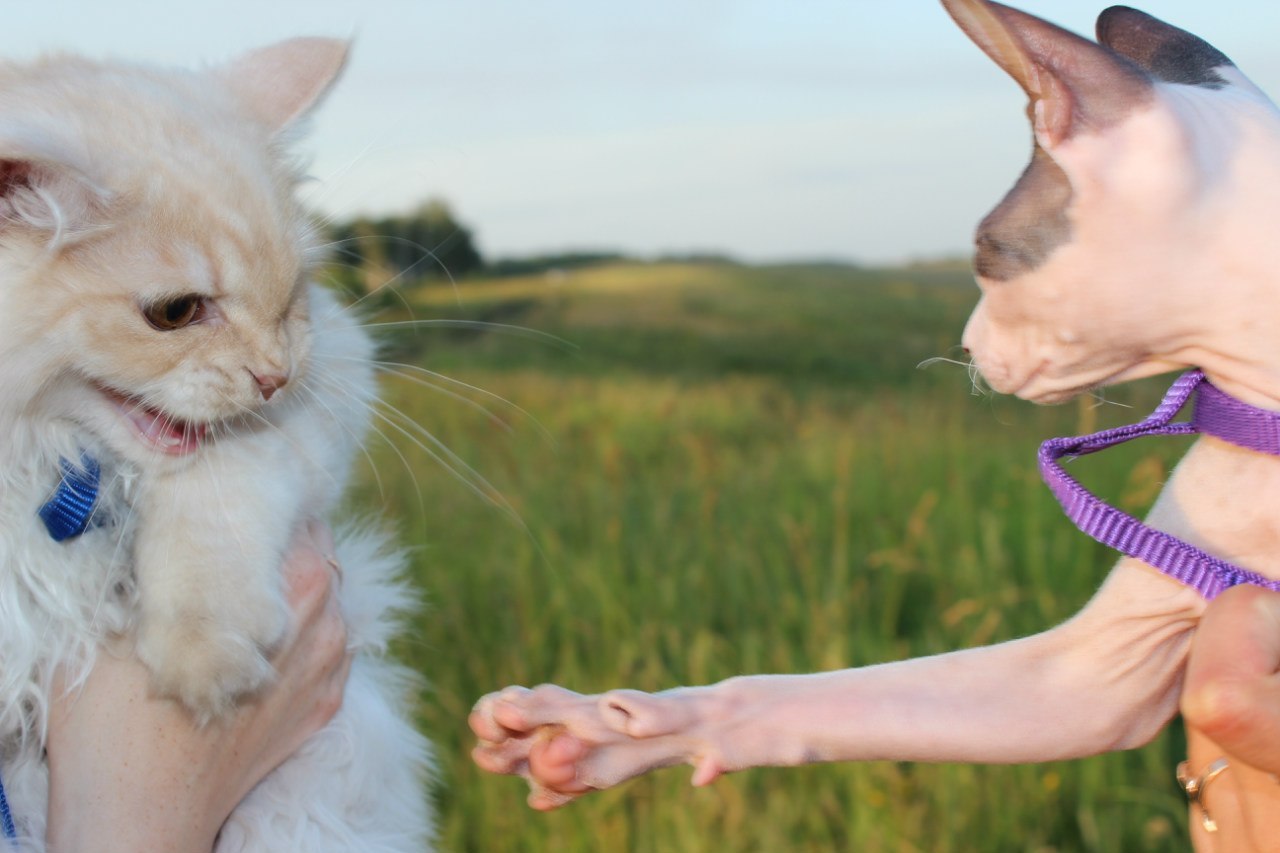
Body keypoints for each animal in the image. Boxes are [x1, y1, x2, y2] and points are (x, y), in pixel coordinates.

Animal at [0, 38, 432, 845]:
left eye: (292, 299)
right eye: (174, 312)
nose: (274, 376)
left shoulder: (327, 386)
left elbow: (212, 492)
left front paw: (204, 656)